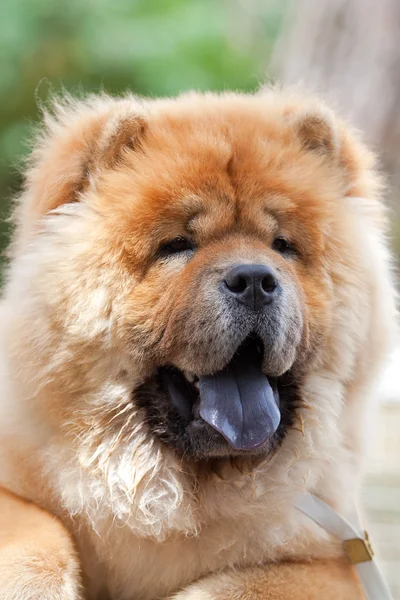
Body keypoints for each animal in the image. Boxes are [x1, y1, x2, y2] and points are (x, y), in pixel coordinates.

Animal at [0, 86, 396, 596]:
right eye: (177, 245)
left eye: (282, 246)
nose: (254, 280)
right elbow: (35, 537)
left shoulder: (332, 560)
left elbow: (240, 584)